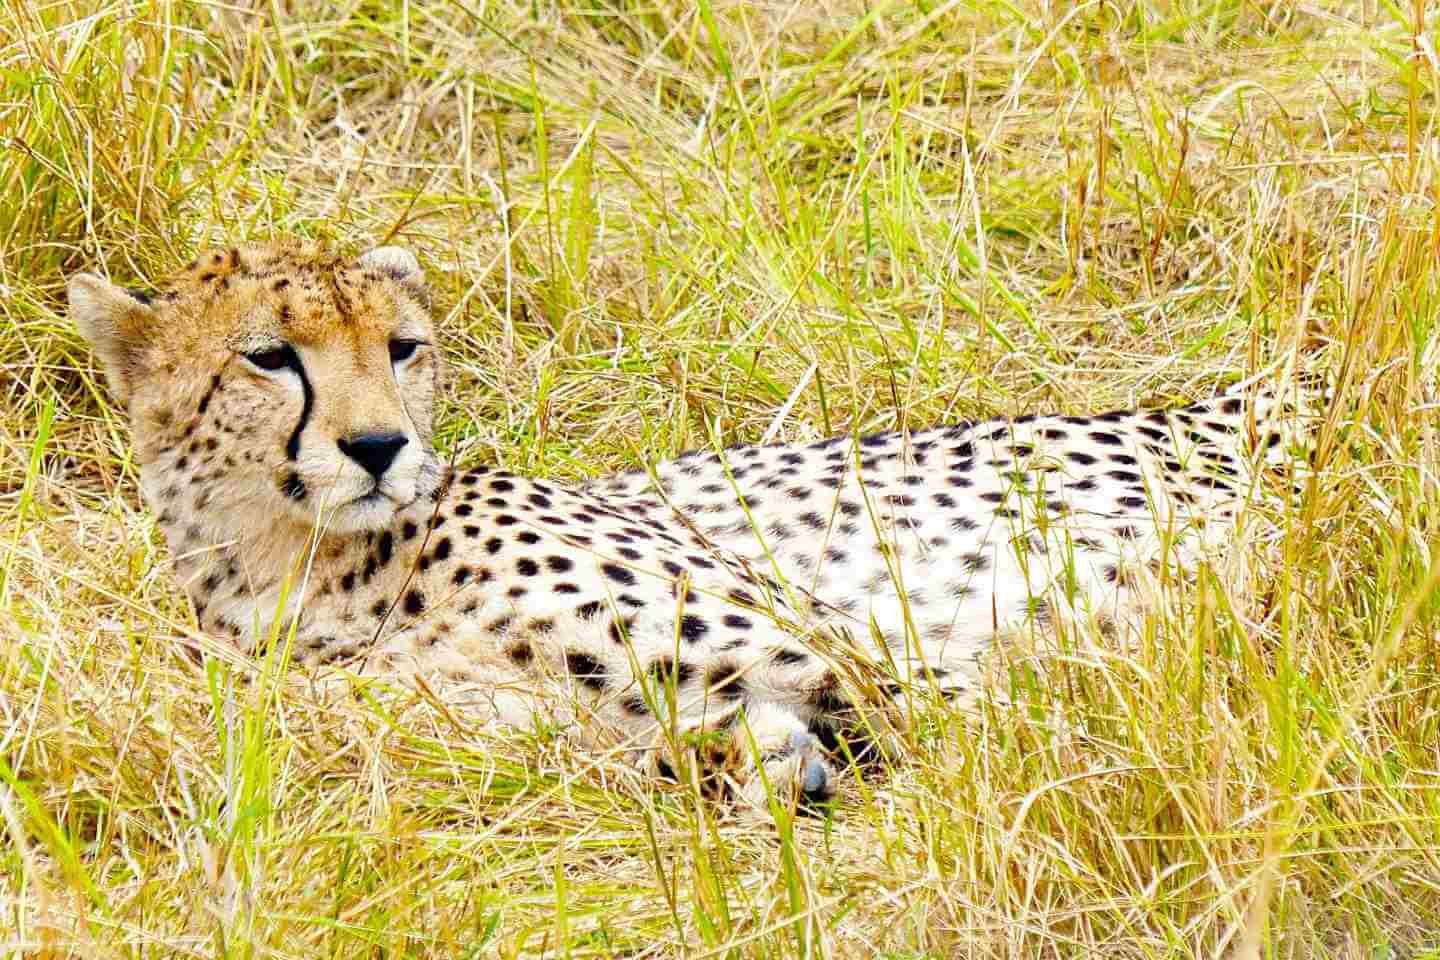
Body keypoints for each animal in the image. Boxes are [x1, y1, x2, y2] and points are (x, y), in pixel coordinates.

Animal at [68, 239, 1314, 809]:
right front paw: (759, 766)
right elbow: (644, 748)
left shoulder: (853, 651)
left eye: (402, 348)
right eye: (269, 357)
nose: (378, 448)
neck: (303, 567)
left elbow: (982, 728)